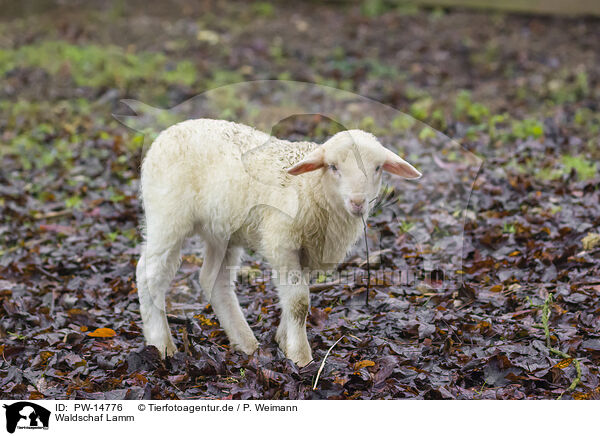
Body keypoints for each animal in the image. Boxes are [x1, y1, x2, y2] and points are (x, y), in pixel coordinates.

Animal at [137, 117, 422, 366]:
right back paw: (161, 344)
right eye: (333, 167)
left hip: (220, 230)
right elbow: (298, 301)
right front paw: (300, 356)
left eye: (377, 168)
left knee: (213, 281)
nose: (357, 202)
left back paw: (245, 343)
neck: (311, 187)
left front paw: (283, 340)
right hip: (167, 215)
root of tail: (170, 131)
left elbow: (296, 299)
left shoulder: (309, 250)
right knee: (149, 274)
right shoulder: (282, 242)